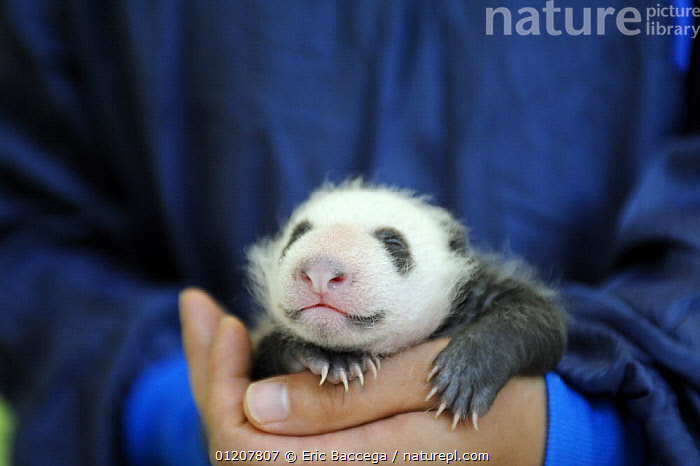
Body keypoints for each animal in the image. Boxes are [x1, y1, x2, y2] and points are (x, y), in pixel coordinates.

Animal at [247, 180, 566, 430]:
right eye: (297, 235)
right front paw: (335, 358)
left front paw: (467, 374)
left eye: (393, 242)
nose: (321, 272)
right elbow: (263, 357)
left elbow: (539, 320)